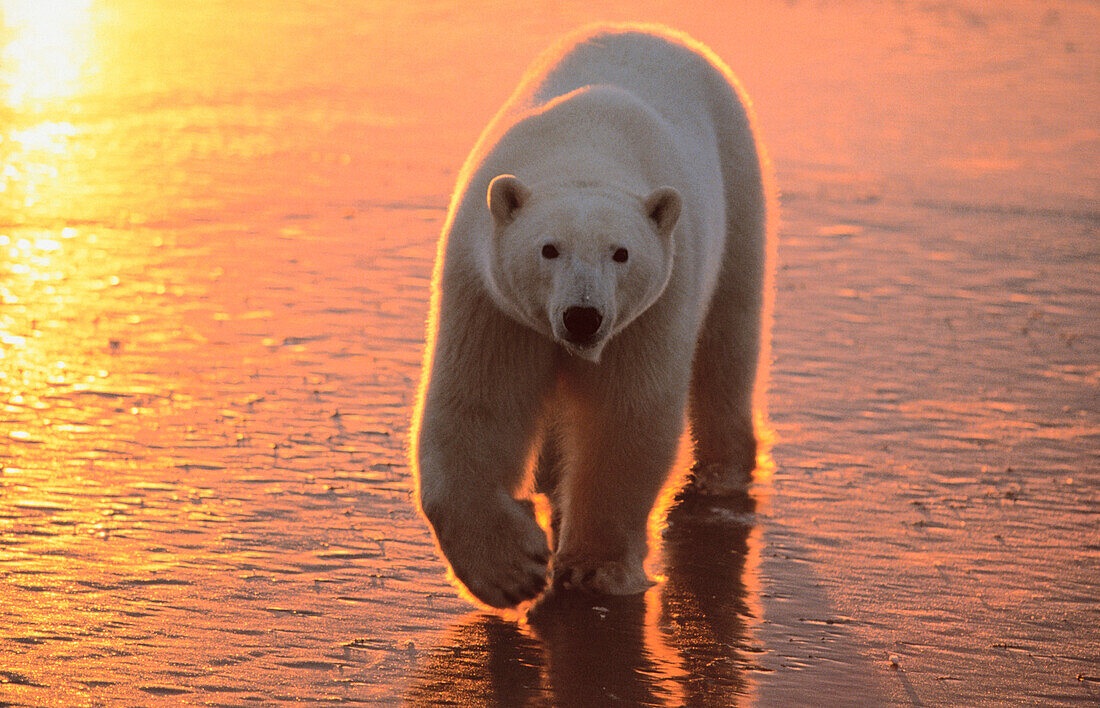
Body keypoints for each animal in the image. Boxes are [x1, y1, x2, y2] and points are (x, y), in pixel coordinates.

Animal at [413, 23, 774, 606]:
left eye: (621, 253)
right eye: (548, 249)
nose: (582, 317)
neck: (584, 151)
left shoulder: (653, 306)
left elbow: (624, 415)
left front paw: (592, 568)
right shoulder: (490, 297)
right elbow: (479, 402)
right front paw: (511, 571)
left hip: (739, 185)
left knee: (728, 341)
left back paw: (724, 471)